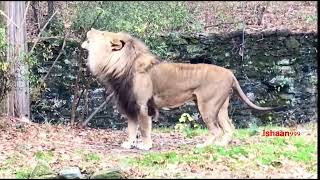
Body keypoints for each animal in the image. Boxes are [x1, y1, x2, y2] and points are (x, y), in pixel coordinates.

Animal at [81, 27, 282, 149]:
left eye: (102, 33)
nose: (91, 29)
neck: (120, 64)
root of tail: (230, 73)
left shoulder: (143, 105)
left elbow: (144, 128)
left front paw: (145, 146)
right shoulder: (129, 104)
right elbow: (131, 128)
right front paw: (128, 144)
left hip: (207, 106)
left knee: (216, 130)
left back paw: (204, 146)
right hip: (221, 107)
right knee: (229, 127)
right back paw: (221, 146)